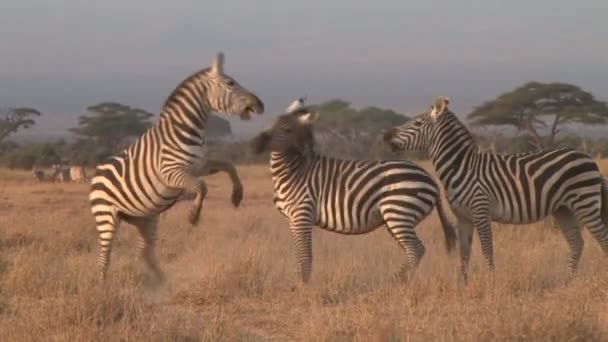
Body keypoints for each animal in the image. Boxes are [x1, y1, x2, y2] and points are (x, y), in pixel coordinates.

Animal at [89, 51, 264, 280]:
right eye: (230, 83)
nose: (260, 104)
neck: (184, 130)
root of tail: (96, 172)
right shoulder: (171, 172)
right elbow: (201, 187)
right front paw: (193, 215)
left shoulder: (200, 165)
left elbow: (229, 165)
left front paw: (237, 195)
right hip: (106, 216)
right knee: (104, 256)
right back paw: (103, 284)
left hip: (146, 218)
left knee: (144, 252)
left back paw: (153, 281)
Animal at [248, 98, 456, 284]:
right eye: (269, 123)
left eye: (287, 130)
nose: (254, 144)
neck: (293, 171)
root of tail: (430, 178)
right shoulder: (292, 219)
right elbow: (299, 255)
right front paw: (299, 282)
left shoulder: (302, 214)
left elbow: (305, 255)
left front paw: (302, 286)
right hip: (397, 218)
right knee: (412, 250)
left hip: (399, 212)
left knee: (416, 249)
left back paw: (395, 281)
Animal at [384, 96, 608, 280]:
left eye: (417, 123)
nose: (386, 136)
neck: (461, 166)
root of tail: (588, 159)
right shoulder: (463, 217)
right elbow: (464, 253)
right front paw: (463, 284)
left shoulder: (480, 210)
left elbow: (486, 249)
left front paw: (491, 281)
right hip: (563, 209)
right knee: (577, 243)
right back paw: (569, 281)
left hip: (585, 203)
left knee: (602, 238)